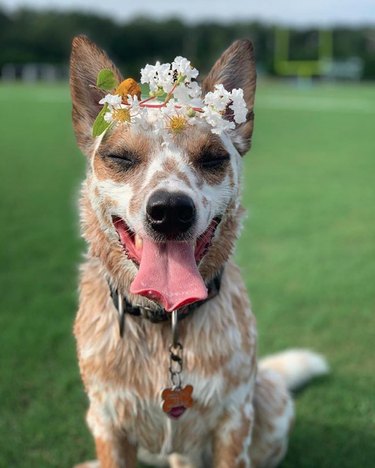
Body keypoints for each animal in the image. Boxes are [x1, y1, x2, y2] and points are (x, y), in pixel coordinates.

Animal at [70, 34, 328, 466]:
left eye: (212, 157)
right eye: (120, 156)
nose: (171, 210)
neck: (166, 325)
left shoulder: (234, 419)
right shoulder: (105, 421)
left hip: (271, 408)